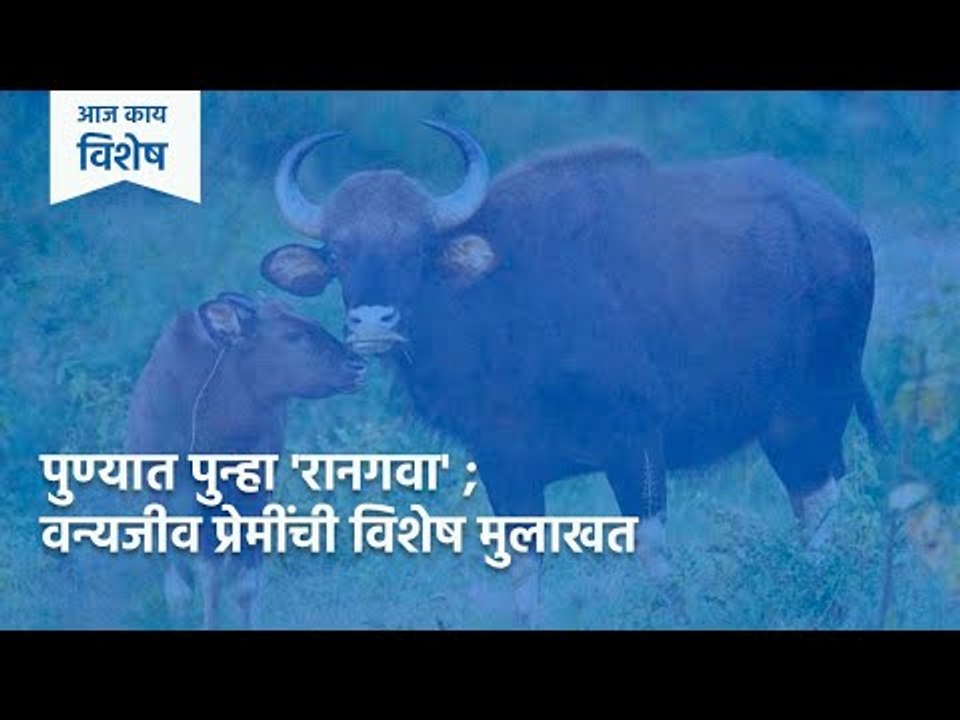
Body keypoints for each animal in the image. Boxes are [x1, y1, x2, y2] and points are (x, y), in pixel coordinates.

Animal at [124, 292, 366, 628]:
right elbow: (198, 580)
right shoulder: (176, 498)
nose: (356, 364)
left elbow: (243, 584)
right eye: (293, 335)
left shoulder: (254, 496)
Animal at [261, 122, 886, 626]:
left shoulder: (636, 444)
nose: (372, 323)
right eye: (337, 253)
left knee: (818, 504)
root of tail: (843, 225)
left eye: (416, 249)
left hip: (808, 415)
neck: (500, 305)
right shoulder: (505, 464)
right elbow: (524, 575)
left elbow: (654, 556)